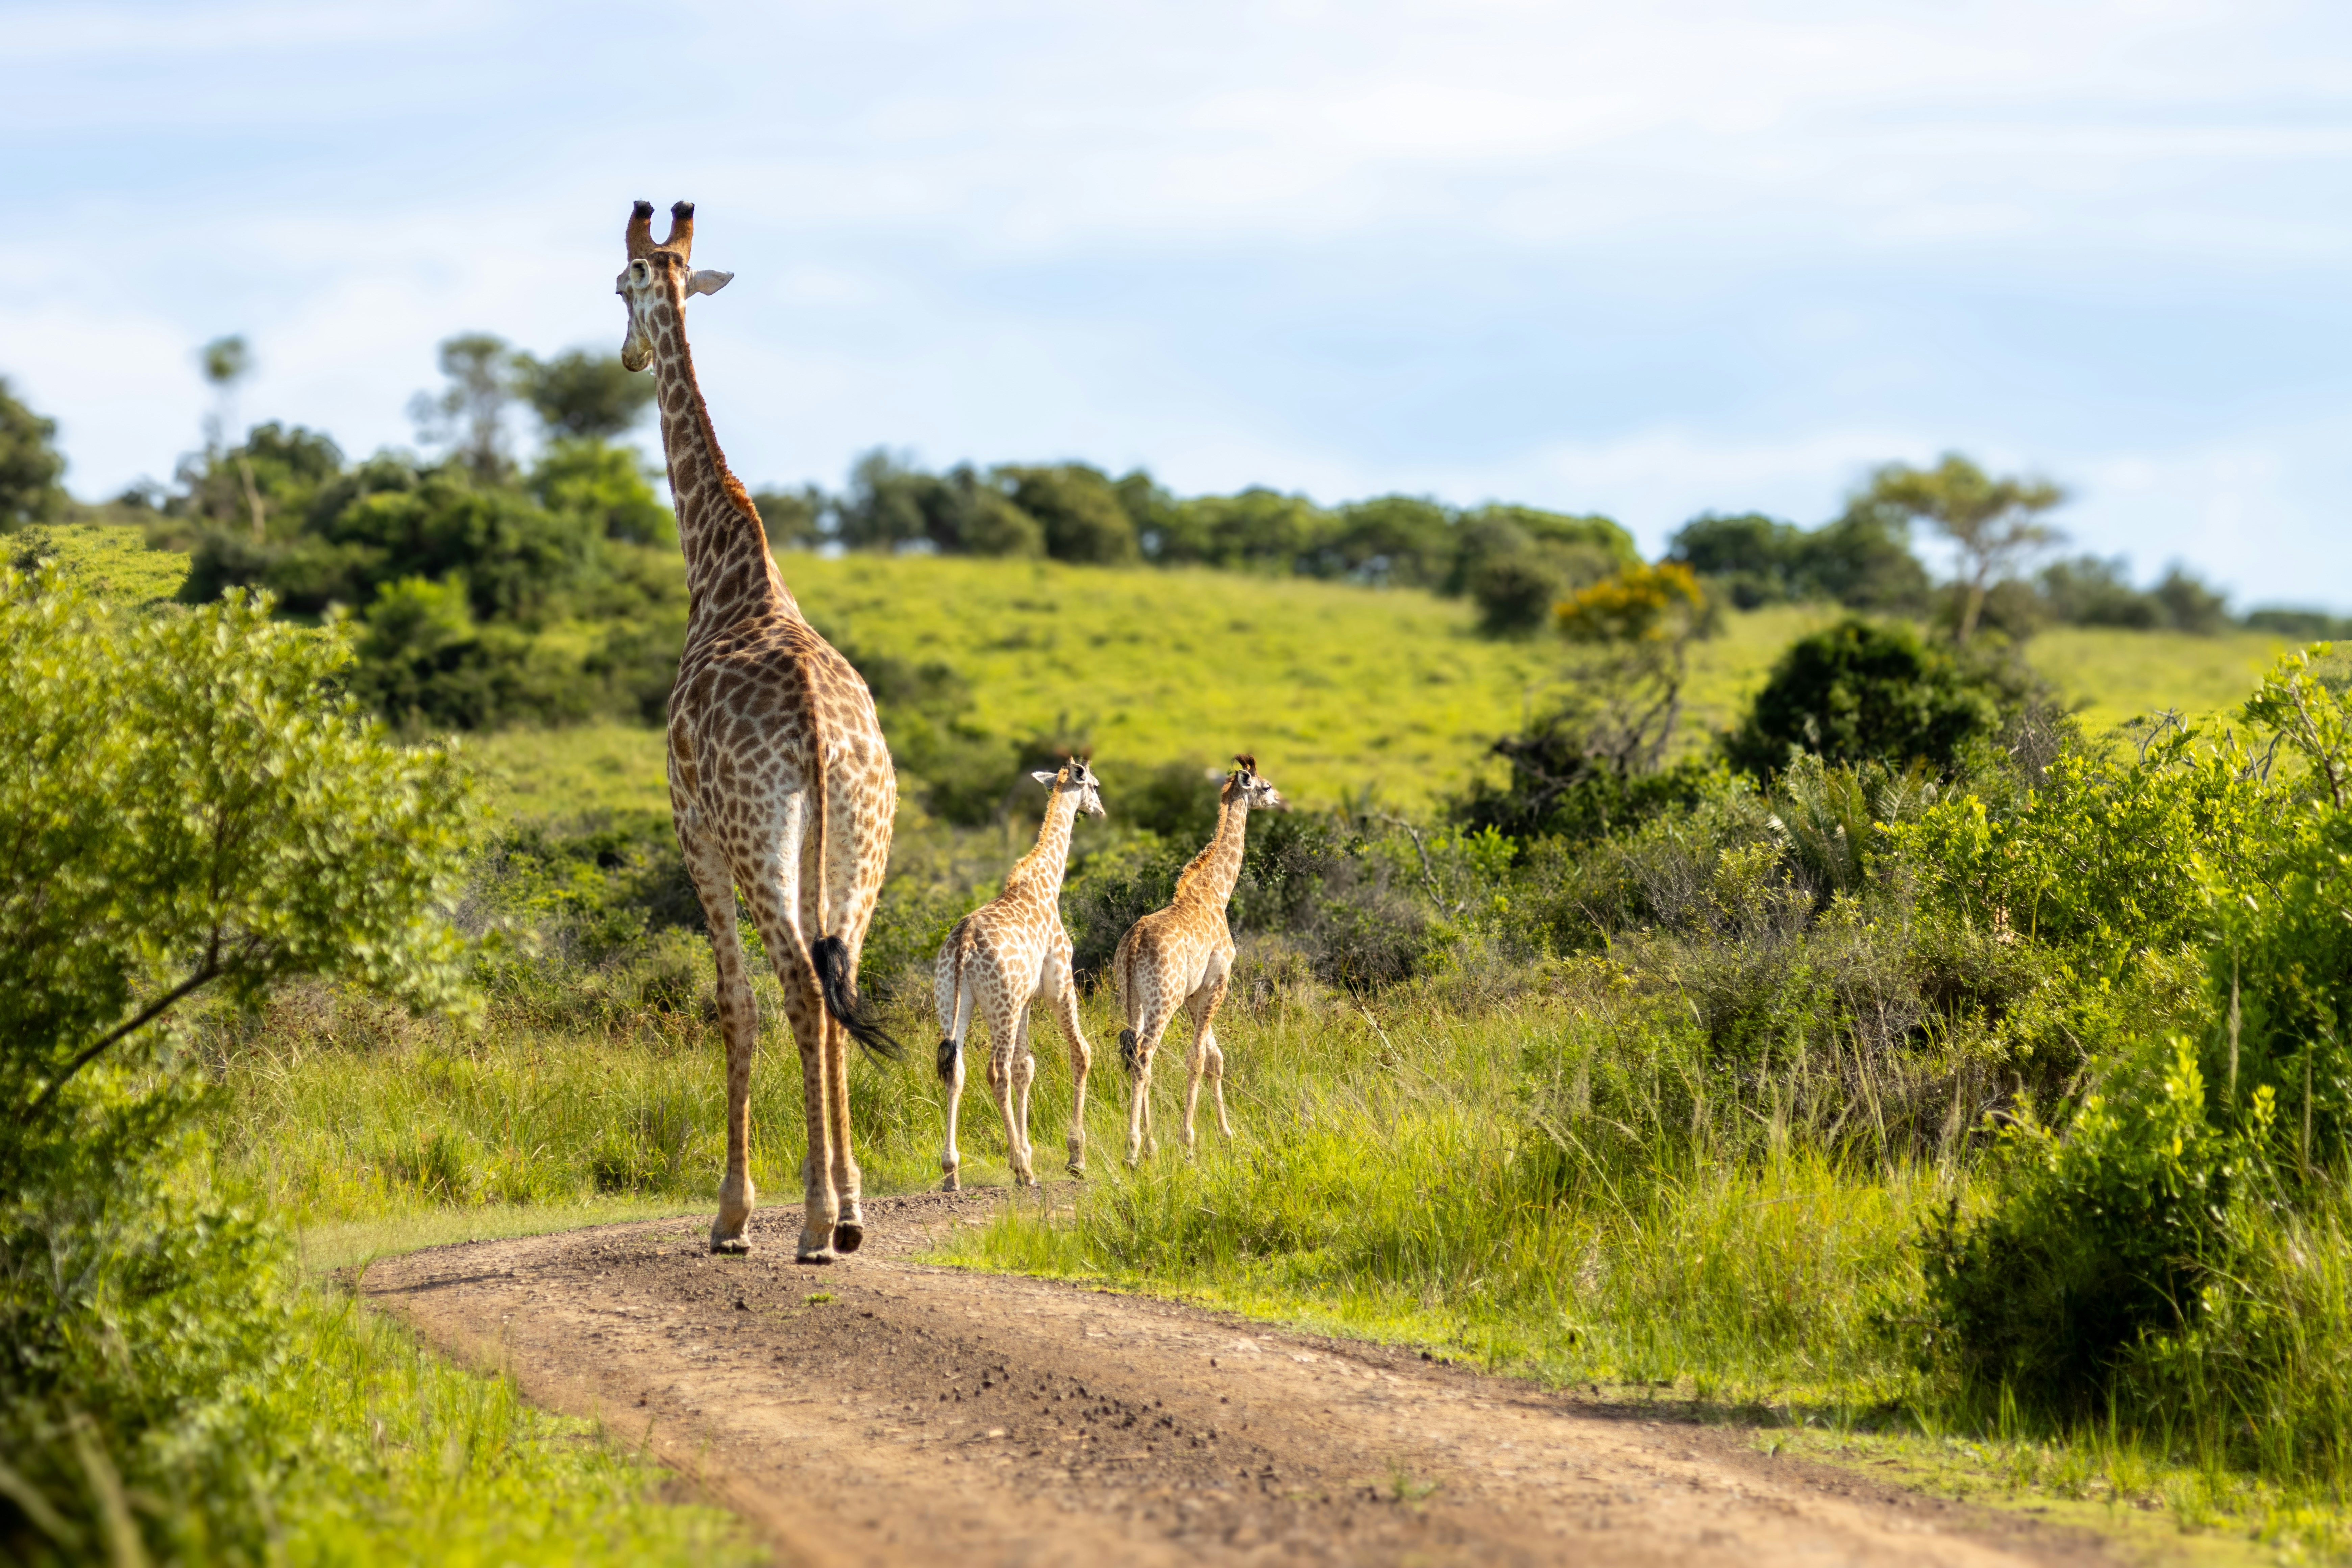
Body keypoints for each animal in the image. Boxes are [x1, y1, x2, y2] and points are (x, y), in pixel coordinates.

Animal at [616, 200, 901, 1262]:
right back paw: (847, 1212)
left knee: (797, 987)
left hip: (753, 831)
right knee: (839, 975)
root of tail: (821, 732)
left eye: (620, 287)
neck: (725, 574)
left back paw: (813, 1223)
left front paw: (731, 1214)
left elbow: (730, 1002)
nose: (626, 357)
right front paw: (839, 1197)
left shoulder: (688, 820)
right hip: (862, 837)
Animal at [933, 757, 1105, 1191]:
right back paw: (1024, 1173)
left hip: (954, 1003)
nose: (1099, 810)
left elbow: (1025, 1067)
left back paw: (951, 1170)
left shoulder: (1027, 1000)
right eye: (1095, 786)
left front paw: (1025, 1150)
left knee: (956, 1069)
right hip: (1001, 1005)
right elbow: (1081, 1051)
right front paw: (1075, 1156)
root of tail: (963, 945)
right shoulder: (1060, 984)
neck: (1045, 885)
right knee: (995, 1071)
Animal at [1112, 755, 1284, 1163]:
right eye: (1266, 786)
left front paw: (1227, 1134)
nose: (1280, 801)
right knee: (1146, 1055)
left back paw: (1150, 1145)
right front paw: (1188, 1141)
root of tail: (1134, 945)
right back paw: (1134, 1150)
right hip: (1163, 999)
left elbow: (1215, 1058)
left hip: (1132, 998)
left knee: (1135, 1054)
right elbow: (1199, 1058)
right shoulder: (1217, 984)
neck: (1216, 893)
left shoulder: (1195, 994)